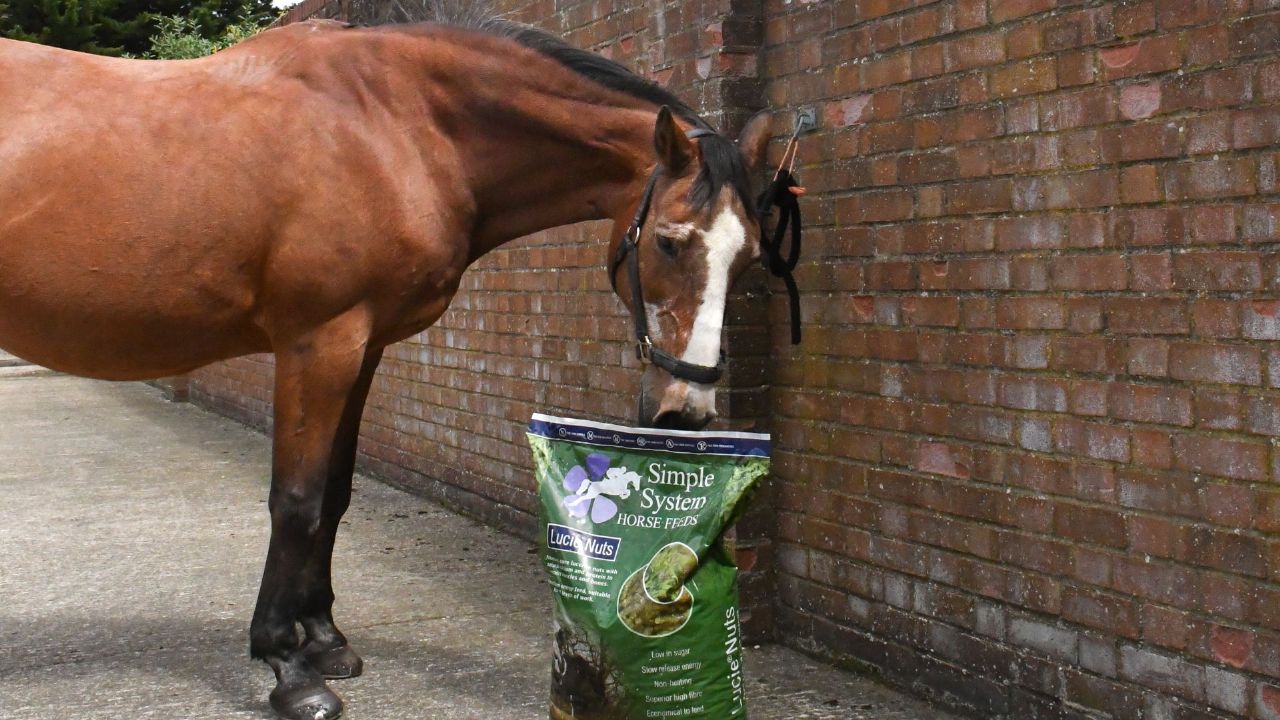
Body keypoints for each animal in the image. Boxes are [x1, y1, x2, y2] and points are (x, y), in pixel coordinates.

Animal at [0, 13, 771, 720]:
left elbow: (335, 493)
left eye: (751, 256)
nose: (685, 410)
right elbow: (297, 499)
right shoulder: (318, 341)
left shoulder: (363, 345)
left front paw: (323, 640)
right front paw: (288, 667)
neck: (392, 128)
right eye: (669, 242)